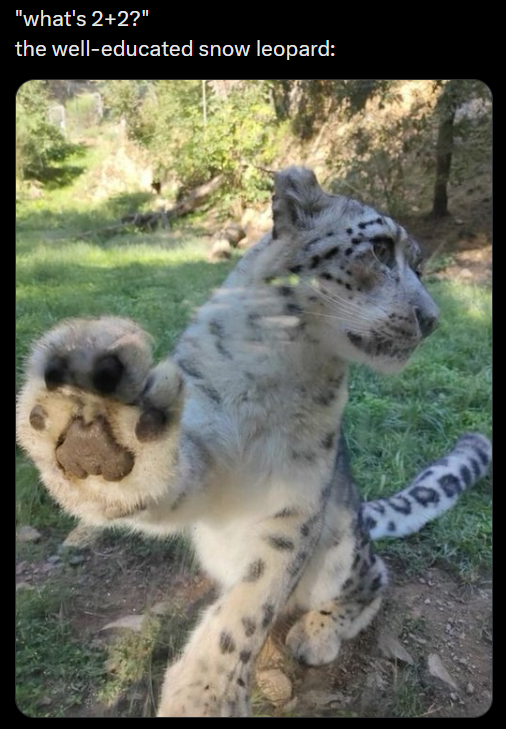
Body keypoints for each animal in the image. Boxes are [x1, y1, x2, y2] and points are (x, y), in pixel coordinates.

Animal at [16, 167, 491, 717]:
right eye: (378, 247)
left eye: (418, 265)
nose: (431, 318)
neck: (281, 359)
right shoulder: (205, 450)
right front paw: (93, 430)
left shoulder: (297, 498)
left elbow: (255, 599)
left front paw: (205, 694)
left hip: (342, 545)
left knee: (374, 579)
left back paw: (316, 632)